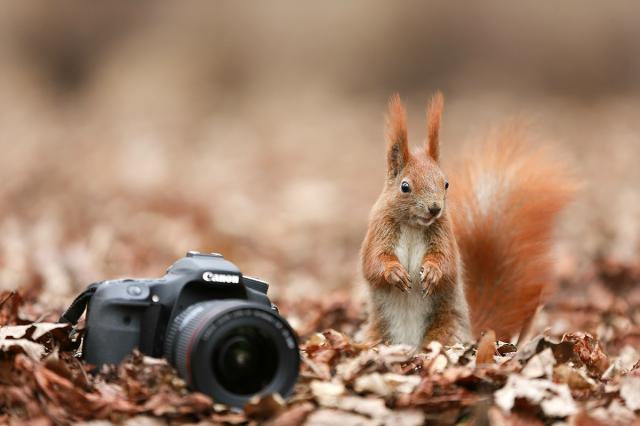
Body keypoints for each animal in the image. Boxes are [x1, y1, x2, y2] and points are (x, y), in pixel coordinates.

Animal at [360, 93, 576, 350]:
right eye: (405, 187)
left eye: (446, 183)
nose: (435, 209)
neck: (413, 225)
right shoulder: (379, 228)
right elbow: (374, 261)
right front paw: (395, 273)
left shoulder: (444, 232)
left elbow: (448, 262)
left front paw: (433, 273)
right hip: (378, 333)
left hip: (446, 328)